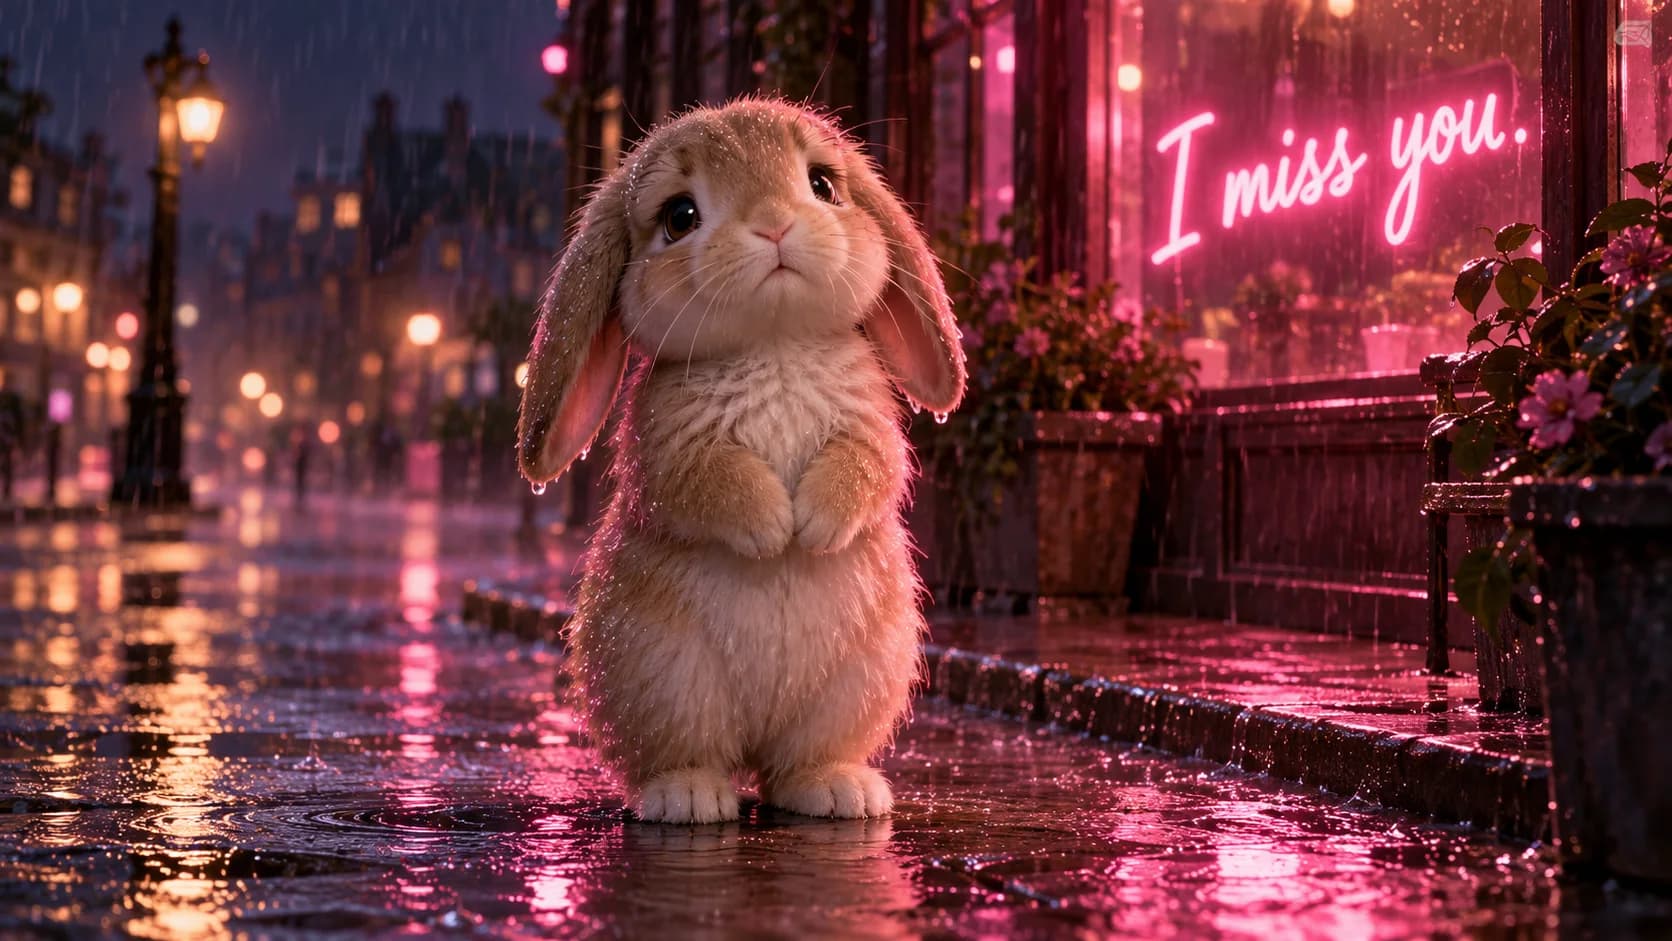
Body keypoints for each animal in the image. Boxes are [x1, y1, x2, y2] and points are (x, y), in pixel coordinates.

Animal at [517, 97, 965, 824]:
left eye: (823, 185)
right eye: (680, 216)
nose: (774, 224)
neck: (773, 340)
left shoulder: (872, 428)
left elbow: (866, 469)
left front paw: (812, 529)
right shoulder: (669, 447)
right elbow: (711, 483)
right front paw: (773, 531)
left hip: (856, 684)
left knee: (796, 766)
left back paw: (839, 793)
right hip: (663, 678)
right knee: (689, 755)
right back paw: (689, 799)